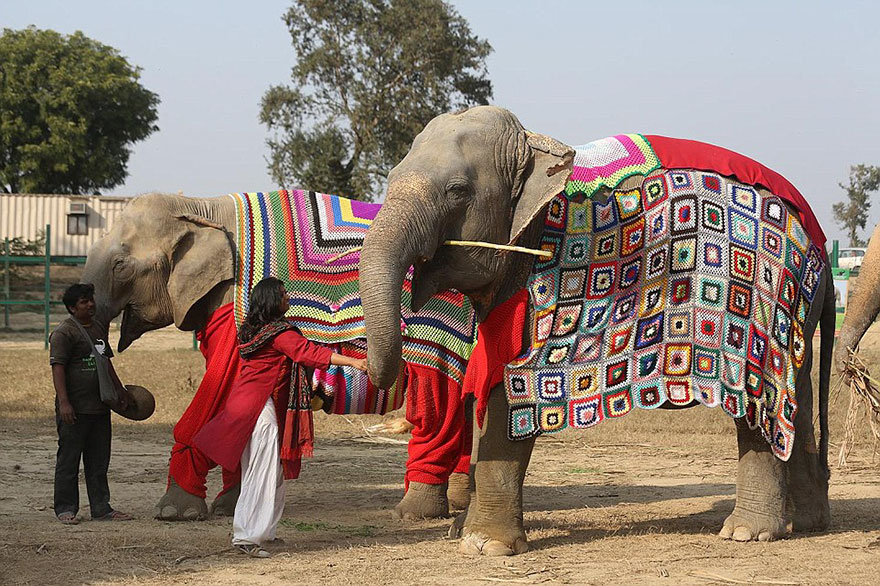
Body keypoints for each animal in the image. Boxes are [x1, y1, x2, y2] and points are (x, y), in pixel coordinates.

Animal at [360, 106, 836, 556]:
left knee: (759, 397)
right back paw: (806, 523)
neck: (532, 144)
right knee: (799, 398)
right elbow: (487, 377)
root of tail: (817, 235)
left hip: (766, 300)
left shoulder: (543, 292)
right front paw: (460, 531)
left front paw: (486, 546)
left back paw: (747, 532)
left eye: (457, 190)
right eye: (390, 177)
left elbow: (510, 389)